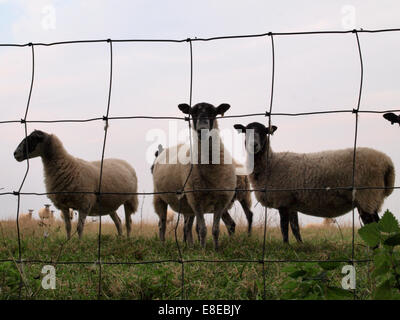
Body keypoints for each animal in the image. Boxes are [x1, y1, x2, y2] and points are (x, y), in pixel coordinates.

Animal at [152, 102, 236, 250]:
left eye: (213, 112)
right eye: (192, 113)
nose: (202, 129)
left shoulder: (221, 200)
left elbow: (215, 229)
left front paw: (216, 249)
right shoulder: (196, 200)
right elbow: (202, 229)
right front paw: (203, 250)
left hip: (187, 203)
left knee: (187, 227)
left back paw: (190, 246)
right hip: (160, 197)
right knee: (162, 224)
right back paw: (162, 244)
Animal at [236, 123, 396, 245]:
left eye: (264, 132)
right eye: (245, 131)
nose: (254, 145)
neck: (271, 163)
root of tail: (387, 163)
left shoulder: (283, 200)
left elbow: (284, 228)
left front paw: (285, 246)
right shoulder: (291, 202)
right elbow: (295, 228)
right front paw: (299, 246)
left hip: (367, 195)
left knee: (372, 225)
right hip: (372, 197)